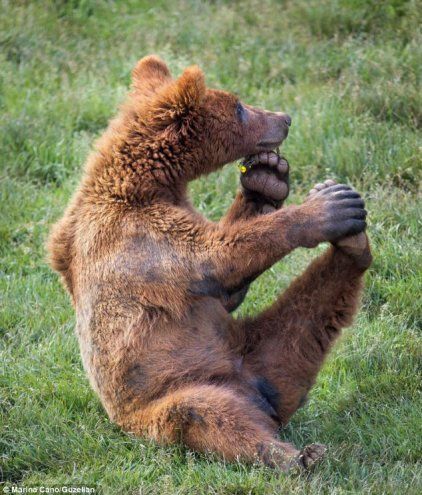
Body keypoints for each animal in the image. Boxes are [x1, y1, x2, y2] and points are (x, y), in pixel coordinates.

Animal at [49, 56, 370, 470]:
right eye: (239, 107)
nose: (284, 117)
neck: (146, 183)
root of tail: (256, 395)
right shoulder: (136, 238)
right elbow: (216, 257)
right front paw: (322, 209)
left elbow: (228, 292)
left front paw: (267, 178)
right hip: (169, 397)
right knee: (210, 415)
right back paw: (294, 456)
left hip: (260, 348)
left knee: (306, 319)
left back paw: (353, 245)